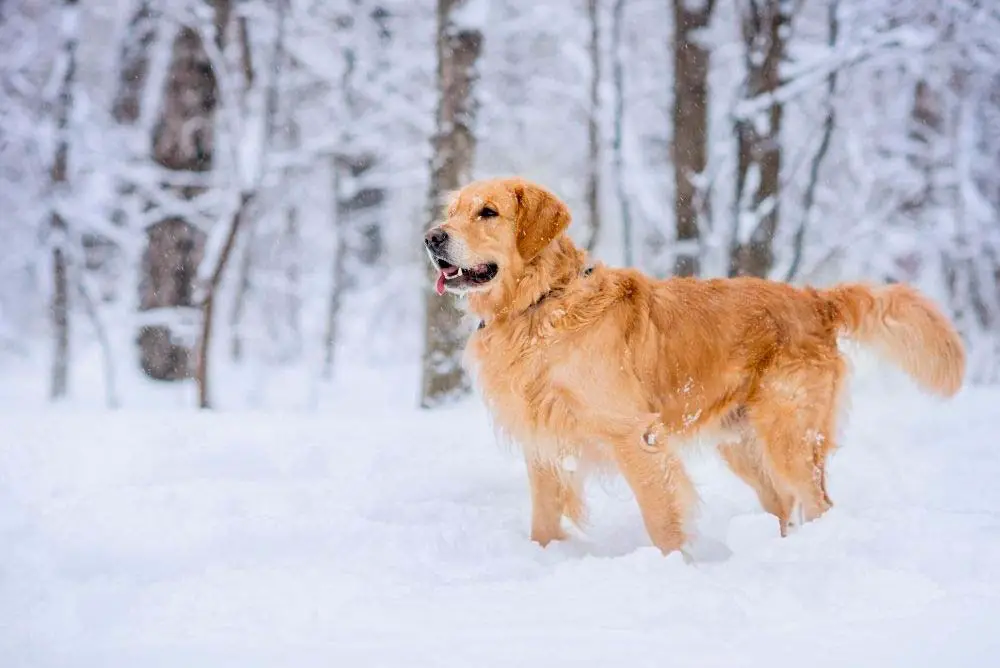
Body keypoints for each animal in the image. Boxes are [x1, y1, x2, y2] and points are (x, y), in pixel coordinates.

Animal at [424, 175, 968, 556]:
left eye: (488, 212)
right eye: (451, 212)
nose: (431, 238)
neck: (541, 304)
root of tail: (815, 299)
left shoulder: (635, 435)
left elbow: (662, 519)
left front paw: (674, 569)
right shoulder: (543, 440)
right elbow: (543, 521)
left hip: (789, 436)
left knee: (818, 504)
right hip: (746, 446)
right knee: (784, 506)